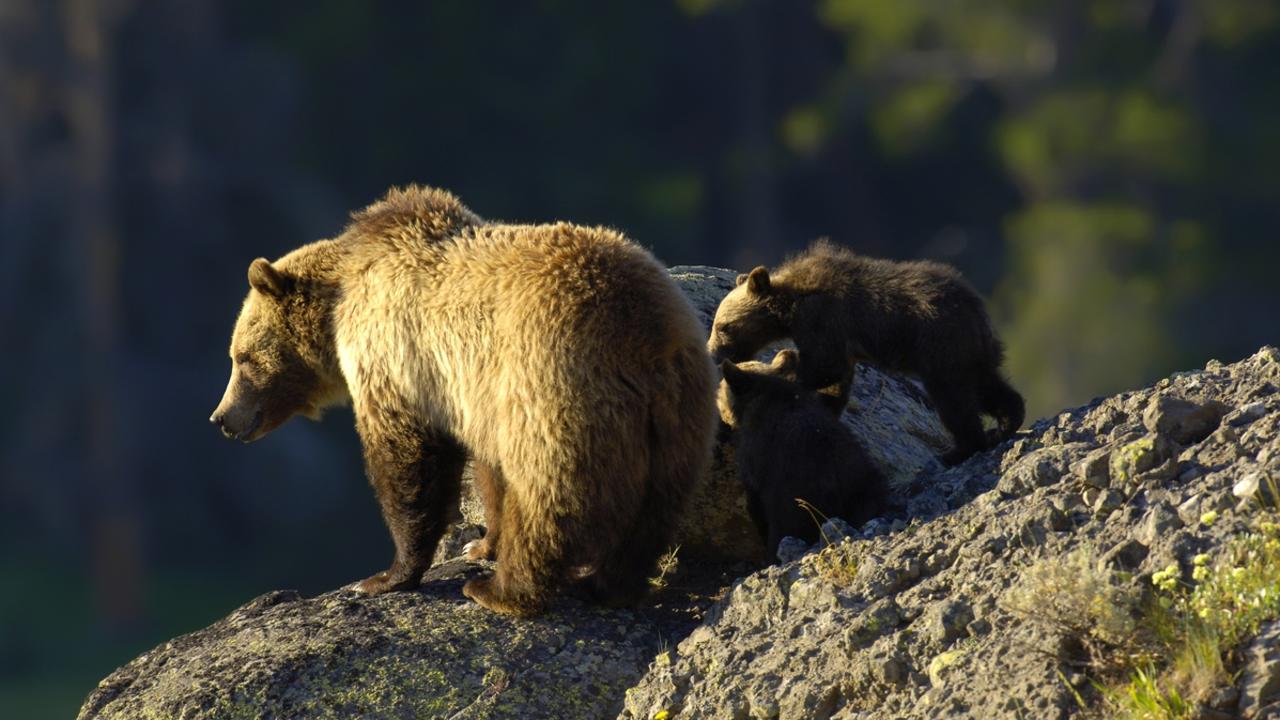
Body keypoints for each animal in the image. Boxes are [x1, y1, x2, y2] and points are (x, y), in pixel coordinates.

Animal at [204, 183, 716, 609]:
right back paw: (610, 584)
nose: (221, 417)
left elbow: (408, 462)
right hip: (680, 417)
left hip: (557, 388)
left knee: (549, 495)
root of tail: (647, 343)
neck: (341, 304)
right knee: (655, 509)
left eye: (241, 357)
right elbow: (488, 469)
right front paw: (480, 542)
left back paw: (502, 591)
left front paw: (386, 576)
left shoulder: (401, 358)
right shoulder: (476, 394)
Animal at [706, 239, 1024, 466]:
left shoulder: (823, 319)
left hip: (940, 346)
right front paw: (828, 404)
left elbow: (824, 365)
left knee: (954, 399)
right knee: (988, 386)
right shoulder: (838, 338)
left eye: (723, 326)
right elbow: (837, 377)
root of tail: (977, 310)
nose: (714, 354)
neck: (789, 304)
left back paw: (960, 449)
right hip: (971, 352)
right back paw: (1007, 423)